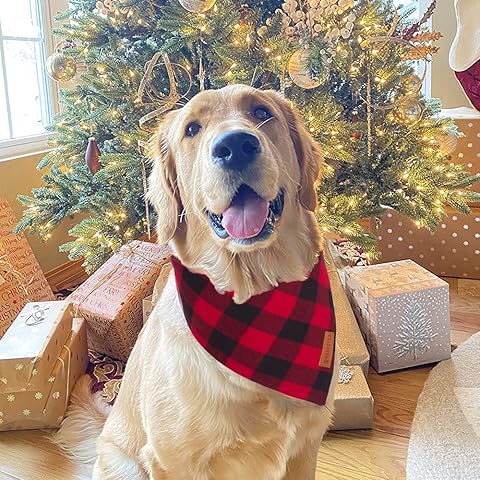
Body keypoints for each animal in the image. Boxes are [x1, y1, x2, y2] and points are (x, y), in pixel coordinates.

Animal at [56, 85, 338, 480]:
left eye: (261, 112)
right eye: (191, 129)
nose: (235, 145)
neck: (253, 302)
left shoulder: (305, 446)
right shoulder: (171, 460)